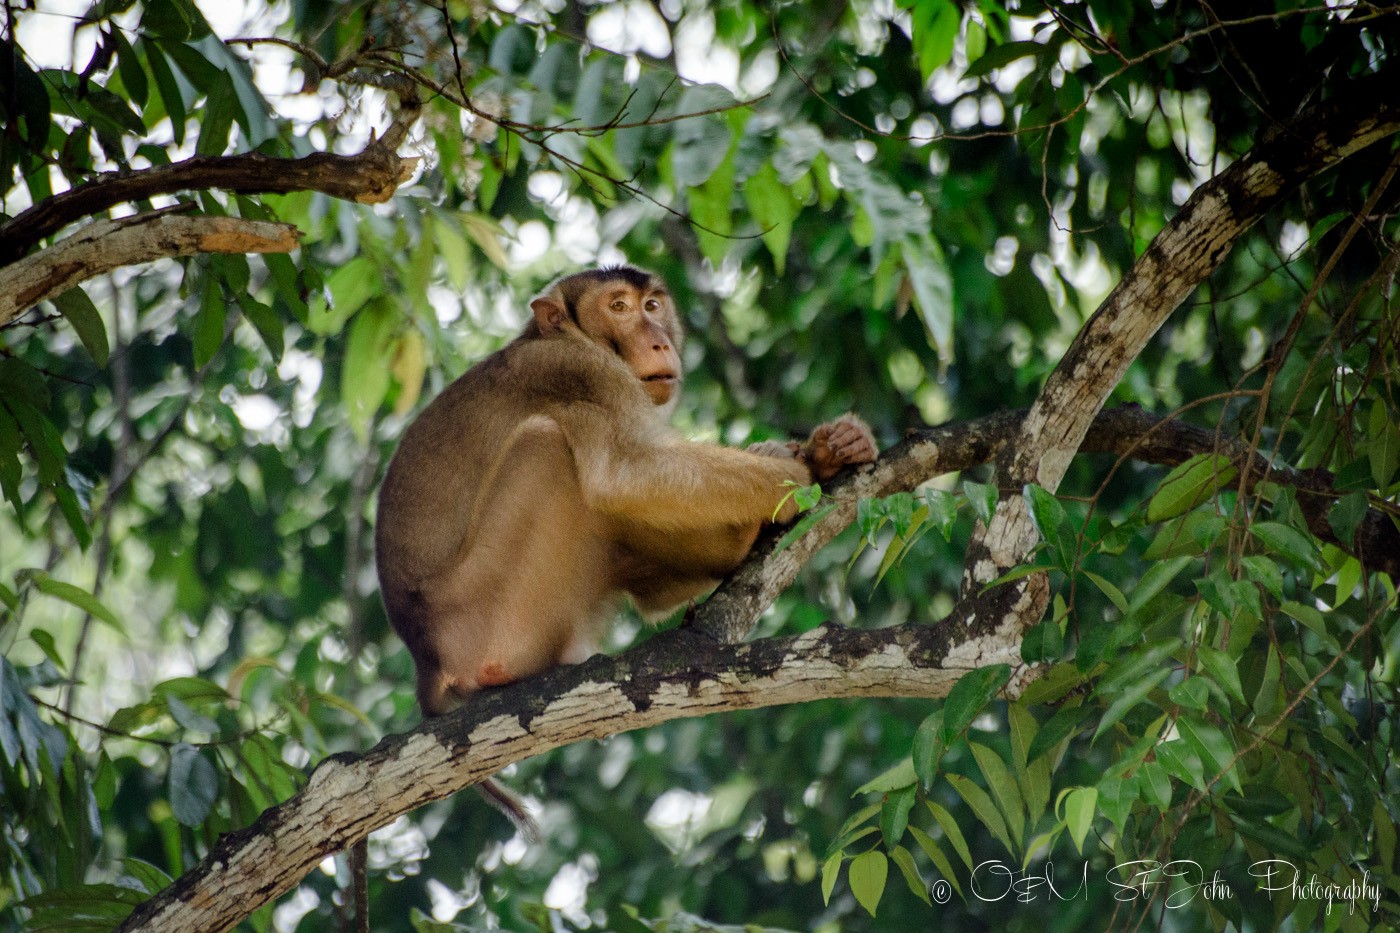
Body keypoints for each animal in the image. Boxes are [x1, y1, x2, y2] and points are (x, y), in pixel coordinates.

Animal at [378, 264, 868, 708]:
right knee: (547, 442)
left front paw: (826, 451)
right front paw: (798, 476)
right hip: (488, 613)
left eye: (651, 306)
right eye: (618, 307)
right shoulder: (583, 373)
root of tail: (429, 666)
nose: (659, 342)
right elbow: (623, 475)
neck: (561, 336)